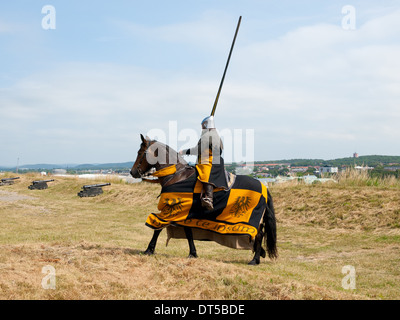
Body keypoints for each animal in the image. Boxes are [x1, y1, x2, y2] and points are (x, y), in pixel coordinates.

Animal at [131, 134, 278, 264]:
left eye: (140, 152)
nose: (133, 172)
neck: (177, 175)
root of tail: (264, 187)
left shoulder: (172, 210)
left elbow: (158, 227)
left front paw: (149, 250)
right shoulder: (185, 212)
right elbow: (188, 232)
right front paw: (193, 253)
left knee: (259, 235)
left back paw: (254, 260)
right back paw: (257, 258)